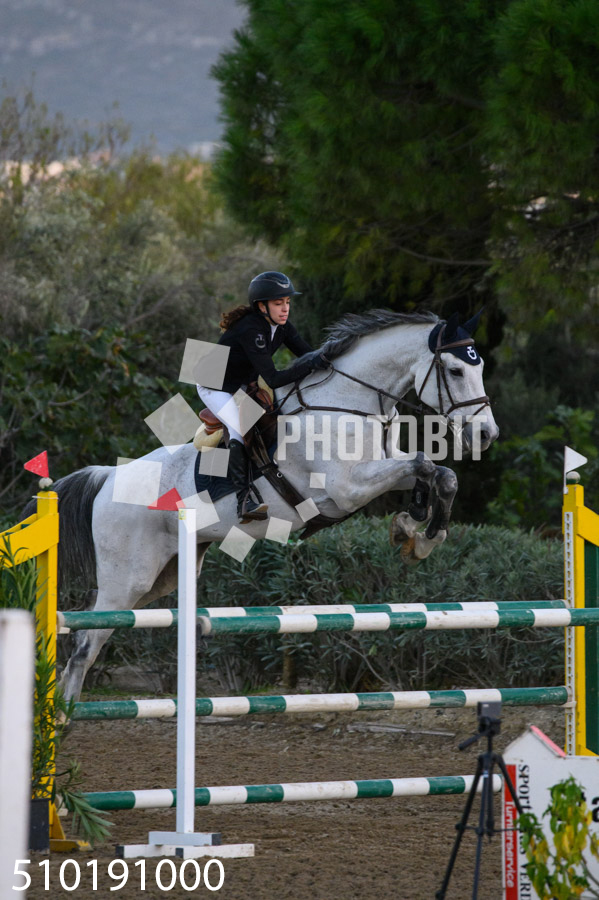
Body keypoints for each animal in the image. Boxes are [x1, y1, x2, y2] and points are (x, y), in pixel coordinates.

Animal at [39, 309, 498, 702]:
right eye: (455, 370)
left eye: (479, 369)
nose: (486, 435)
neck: (348, 403)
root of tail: (108, 478)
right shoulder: (347, 488)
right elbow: (424, 462)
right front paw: (417, 528)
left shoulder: (381, 467)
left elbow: (439, 473)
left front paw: (416, 530)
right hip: (127, 580)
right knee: (86, 642)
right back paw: (63, 722)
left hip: (160, 579)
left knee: (90, 635)